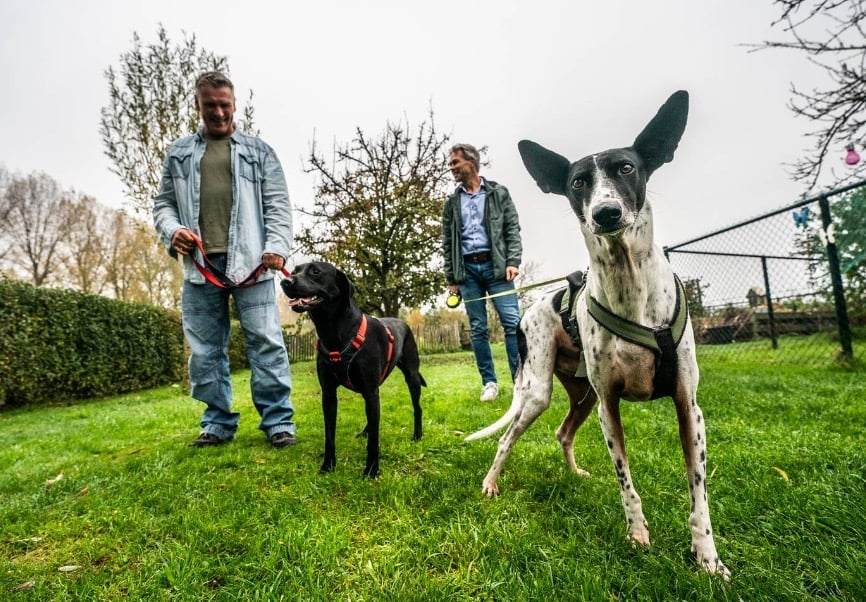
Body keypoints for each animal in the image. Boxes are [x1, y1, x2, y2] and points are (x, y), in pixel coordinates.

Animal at [280, 260, 422, 476]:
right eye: (294, 271)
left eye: (315, 271)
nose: (285, 282)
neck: (333, 332)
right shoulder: (329, 395)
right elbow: (329, 437)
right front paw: (327, 467)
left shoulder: (370, 391)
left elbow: (374, 441)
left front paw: (371, 470)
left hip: (411, 376)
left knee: (417, 407)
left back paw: (417, 435)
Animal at [466, 92, 728, 576]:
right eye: (577, 182)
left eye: (626, 167)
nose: (606, 213)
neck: (630, 285)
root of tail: (532, 307)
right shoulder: (610, 407)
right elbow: (627, 483)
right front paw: (638, 534)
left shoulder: (689, 408)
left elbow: (698, 495)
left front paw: (707, 558)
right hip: (540, 393)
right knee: (508, 439)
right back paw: (491, 482)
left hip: (582, 395)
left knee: (562, 433)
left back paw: (572, 474)